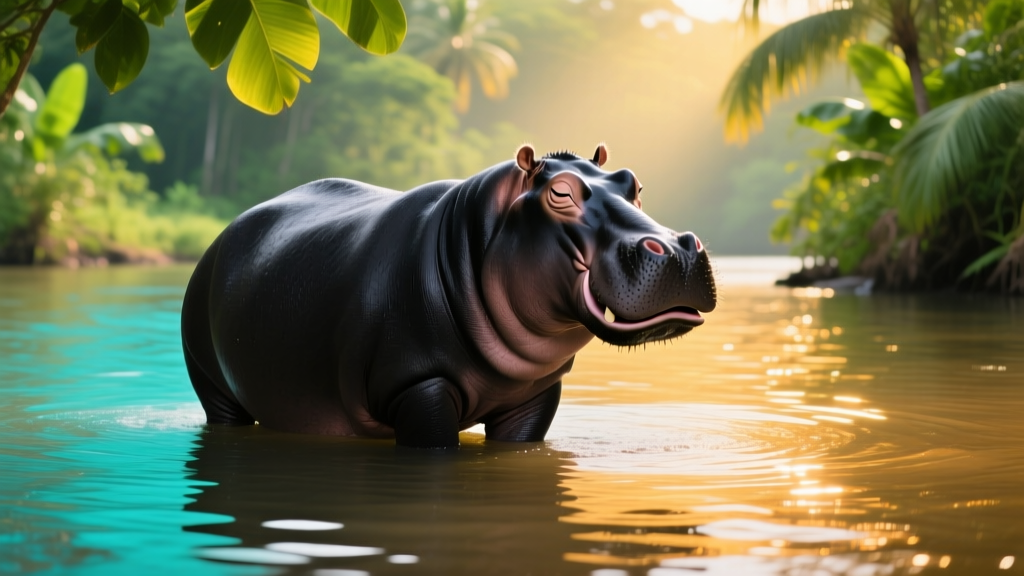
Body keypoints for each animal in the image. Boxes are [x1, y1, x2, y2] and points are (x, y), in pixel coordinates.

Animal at [181, 145, 716, 448]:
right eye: (560, 193)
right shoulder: (419, 385)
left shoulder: (534, 394)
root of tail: (223, 233)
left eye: (633, 183)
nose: (677, 248)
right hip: (211, 382)